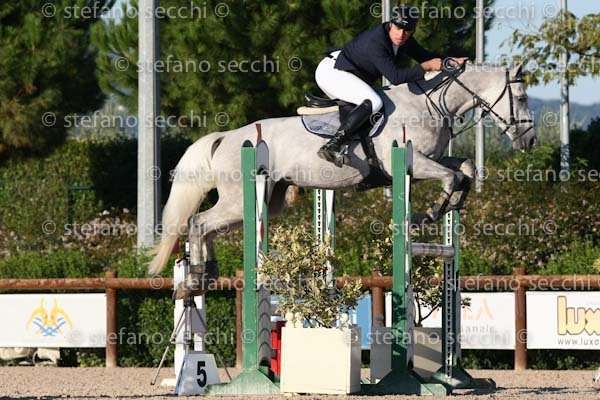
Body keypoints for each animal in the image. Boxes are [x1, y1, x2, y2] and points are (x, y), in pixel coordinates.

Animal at [147, 62, 536, 291]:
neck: (427, 103)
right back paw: (196, 276)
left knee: (206, 226)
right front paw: (430, 212)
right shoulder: (413, 163)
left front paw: (450, 204)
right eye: (520, 97)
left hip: (265, 202)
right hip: (238, 200)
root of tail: (225, 138)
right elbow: (450, 177)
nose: (530, 140)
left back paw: (209, 272)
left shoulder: (435, 158)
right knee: (198, 222)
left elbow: (464, 168)